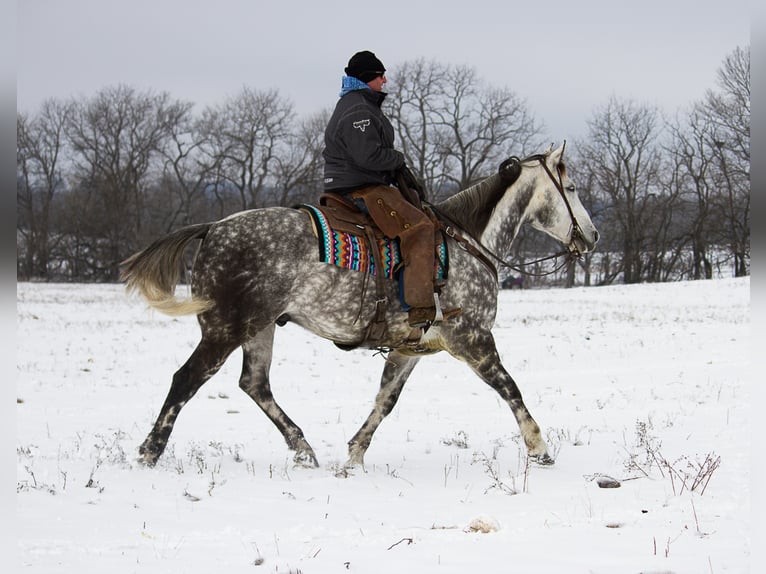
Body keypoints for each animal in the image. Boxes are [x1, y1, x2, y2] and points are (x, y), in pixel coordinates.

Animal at [121, 146, 600, 470]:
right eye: (572, 187)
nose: (593, 236)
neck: (468, 242)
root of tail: (213, 228)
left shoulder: (410, 349)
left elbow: (385, 401)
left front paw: (354, 455)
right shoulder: (474, 339)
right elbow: (510, 389)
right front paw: (539, 448)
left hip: (260, 328)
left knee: (255, 385)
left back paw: (303, 448)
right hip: (226, 328)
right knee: (187, 379)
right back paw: (150, 451)